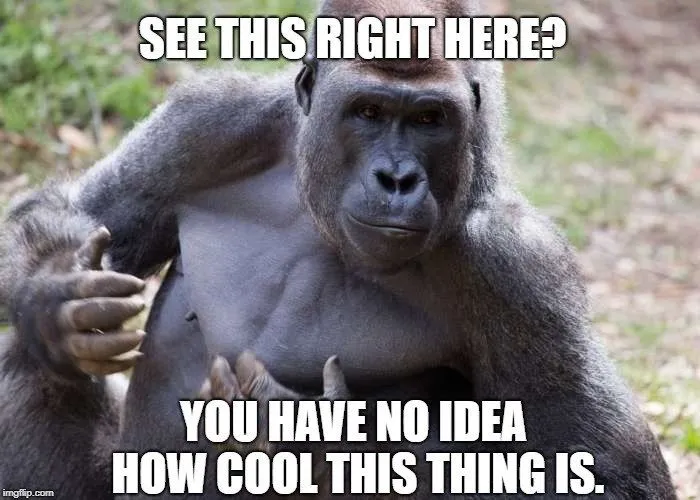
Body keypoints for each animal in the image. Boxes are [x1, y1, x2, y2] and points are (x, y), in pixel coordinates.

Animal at [0, 0, 676, 498]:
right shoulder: (211, 121)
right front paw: (55, 299)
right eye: (368, 111)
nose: (397, 179)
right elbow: (81, 210)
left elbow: (601, 468)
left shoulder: (521, 266)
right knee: (33, 363)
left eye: (430, 119)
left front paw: (317, 444)